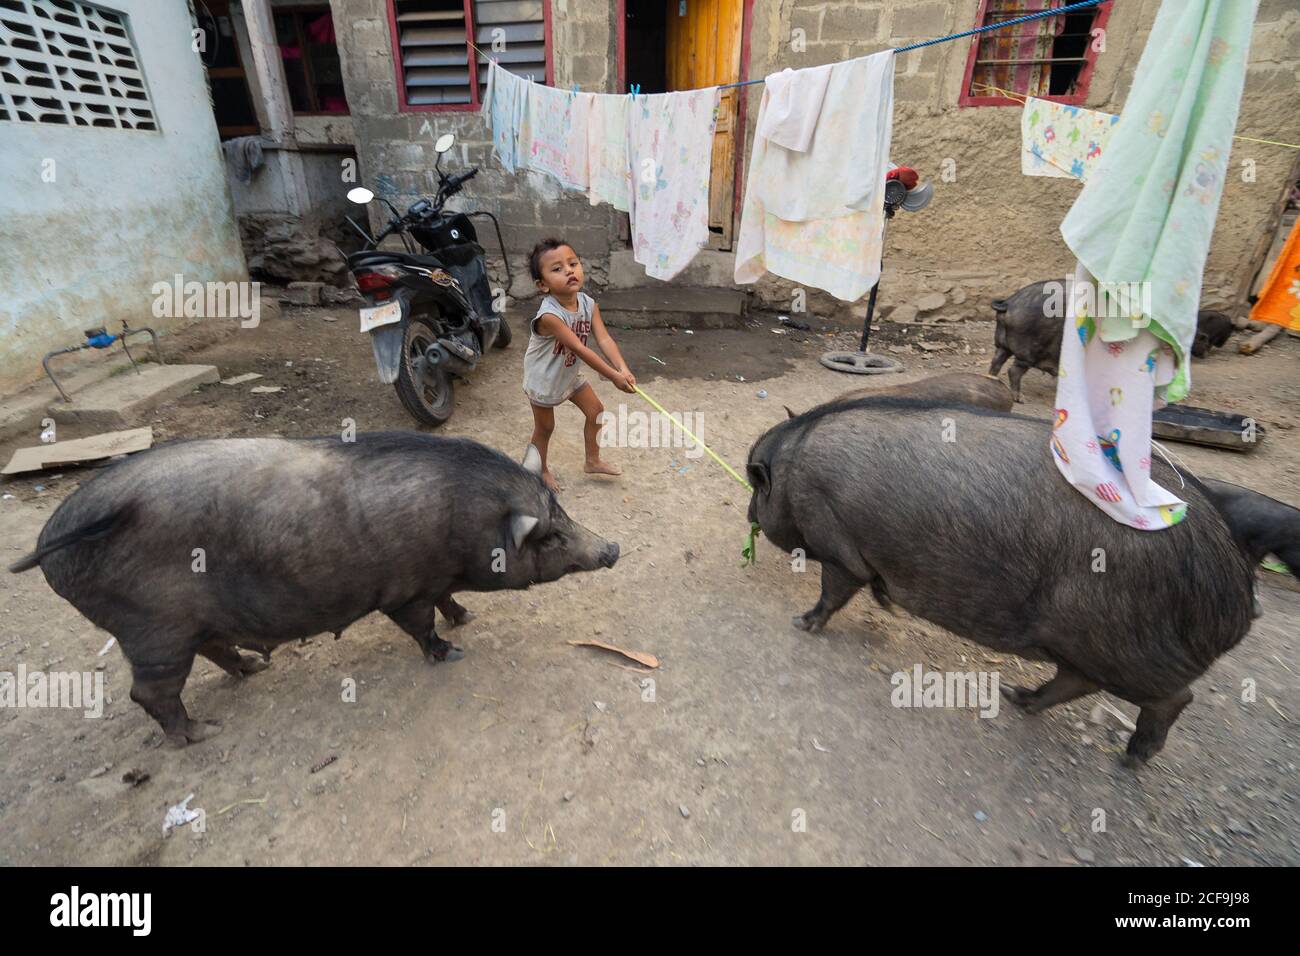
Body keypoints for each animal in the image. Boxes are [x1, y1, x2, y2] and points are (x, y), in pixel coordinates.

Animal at [10, 434, 618, 749]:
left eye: (561, 509)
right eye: (551, 535)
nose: (612, 548)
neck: (461, 523)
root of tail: (50, 537)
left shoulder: (435, 579)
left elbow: (447, 603)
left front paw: (465, 618)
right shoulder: (404, 590)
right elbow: (420, 625)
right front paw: (452, 651)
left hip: (183, 626)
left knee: (214, 650)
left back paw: (255, 670)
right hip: (152, 629)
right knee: (149, 693)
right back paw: (203, 733)